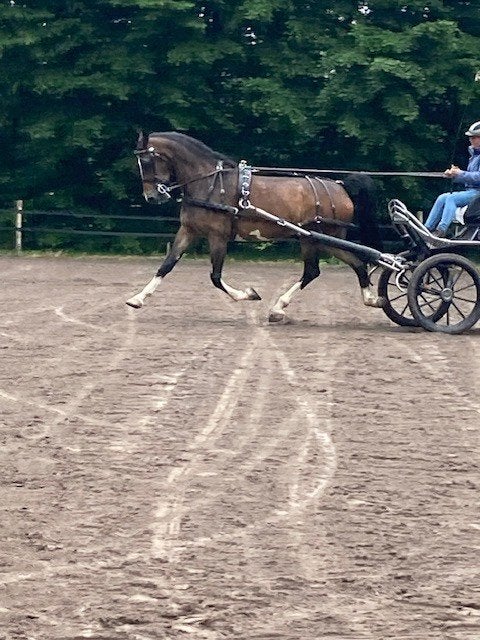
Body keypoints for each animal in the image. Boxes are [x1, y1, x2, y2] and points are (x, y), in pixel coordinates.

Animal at [126, 131, 384, 322]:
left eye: (147, 161)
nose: (151, 197)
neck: (209, 183)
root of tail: (341, 187)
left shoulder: (218, 236)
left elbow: (215, 276)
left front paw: (248, 294)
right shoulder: (189, 231)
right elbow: (167, 265)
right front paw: (137, 299)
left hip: (317, 237)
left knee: (321, 269)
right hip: (317, 239)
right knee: (344, 265)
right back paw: (371, 299)